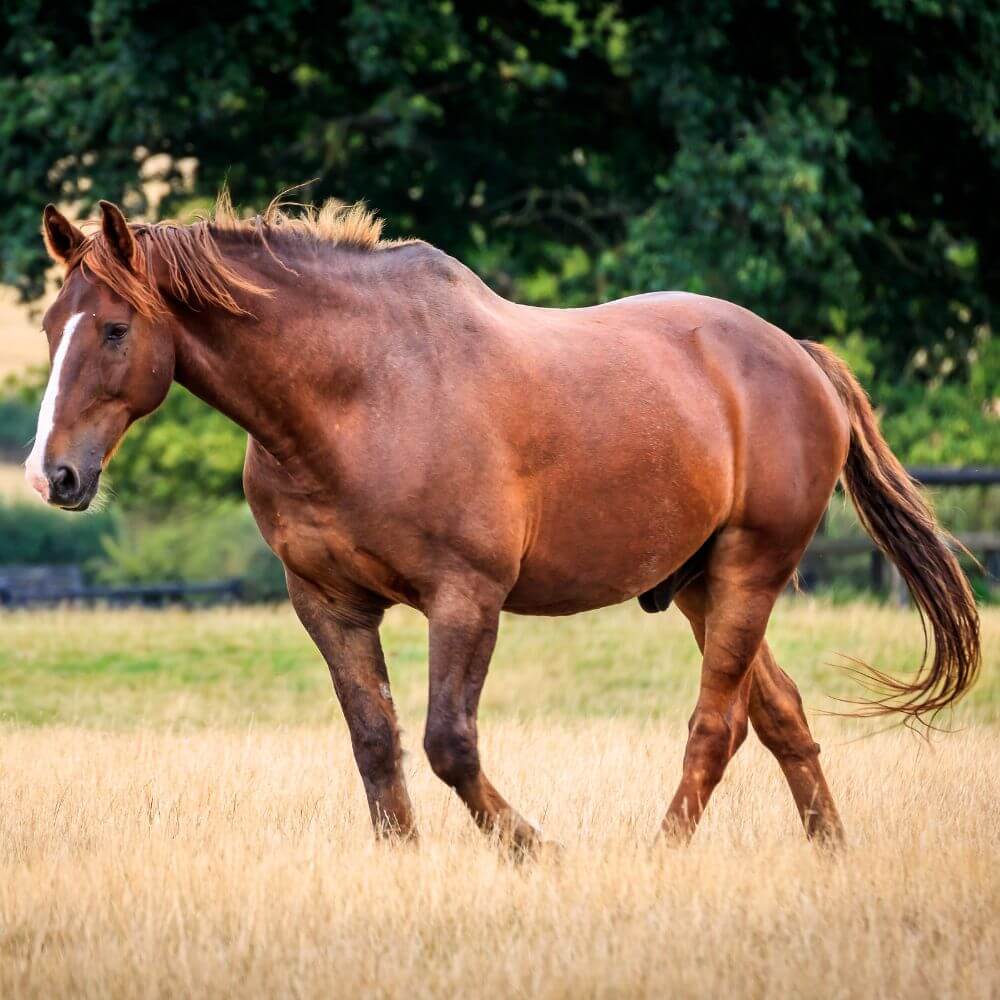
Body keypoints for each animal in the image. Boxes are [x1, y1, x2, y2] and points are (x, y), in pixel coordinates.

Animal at [27, 197, 980, 852]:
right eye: (47, 326)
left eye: (114, 329)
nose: (52, 474)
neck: (358, 394)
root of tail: (800, 358)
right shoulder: (328, 603)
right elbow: (375, 742)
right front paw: (402, 863)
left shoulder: (465, 599)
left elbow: (448, 743)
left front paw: (535, 849)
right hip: (698, 582)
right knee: (778, 715)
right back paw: (831, 854)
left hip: (751, 569)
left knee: (717, 724)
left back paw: (660, 857)